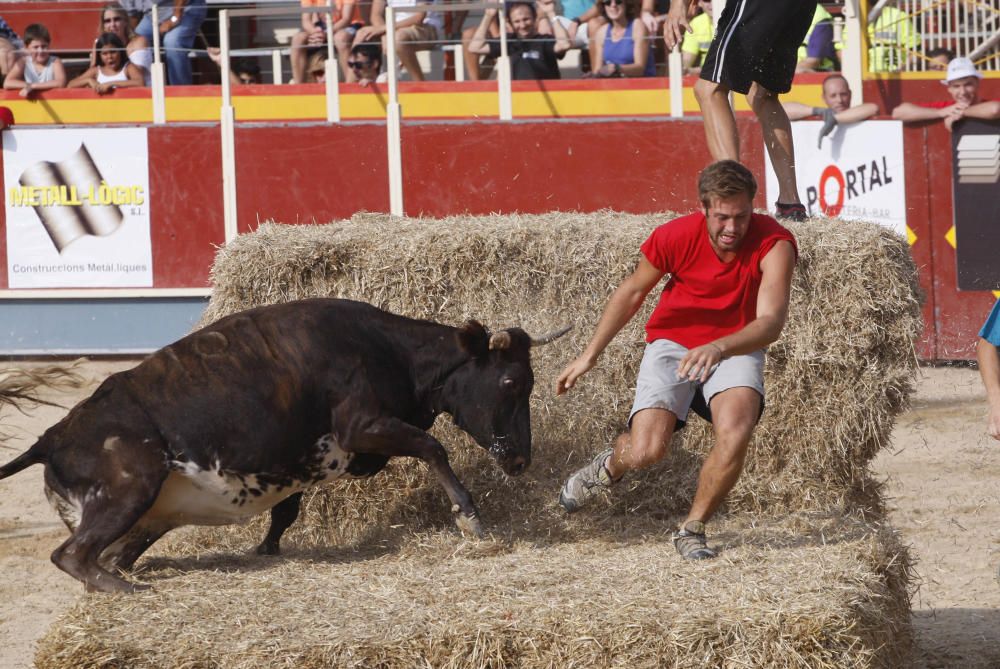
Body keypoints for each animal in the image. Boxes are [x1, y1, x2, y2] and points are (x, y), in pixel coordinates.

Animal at [0, 300, 568, 592]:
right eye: (513, 382)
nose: (521, 458)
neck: (385, 349)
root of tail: (52, 437)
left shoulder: (306, 460)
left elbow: (287, 510)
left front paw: (267, 547)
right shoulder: (360, 426)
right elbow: (432, 447)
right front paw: (470, 516)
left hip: (147, 514)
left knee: (112, 553)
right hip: (127, 490)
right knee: (72, 554)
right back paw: (123, 588)